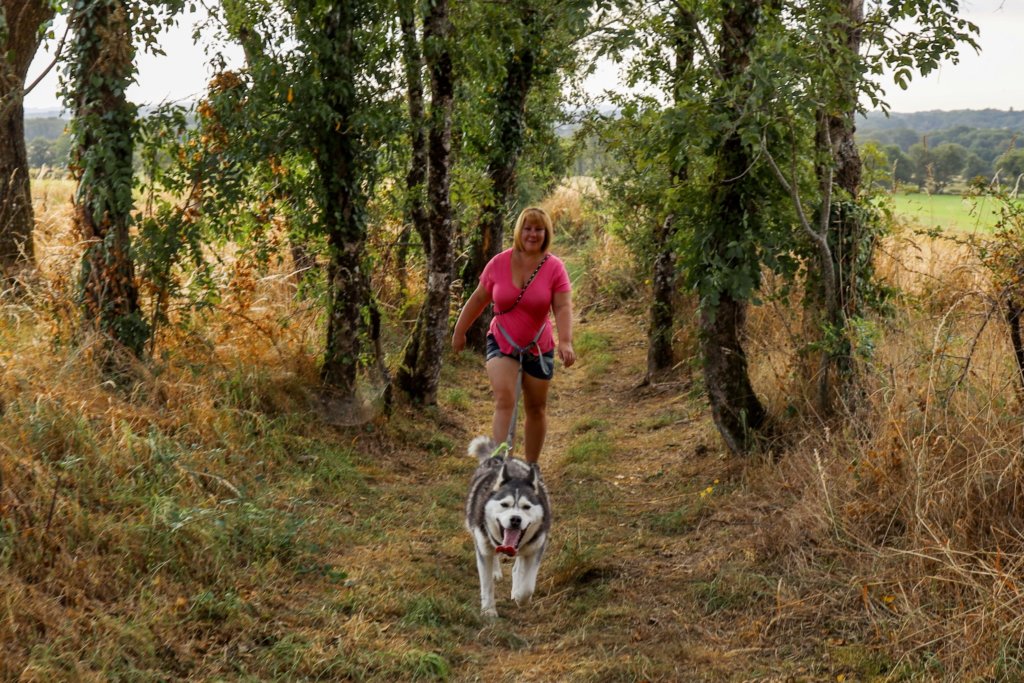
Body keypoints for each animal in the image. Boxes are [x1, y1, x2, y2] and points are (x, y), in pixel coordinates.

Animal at [466, 438, 552, 618]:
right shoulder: (483, 547)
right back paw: (496, 571)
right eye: (504, 504)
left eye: (526, 507)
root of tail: (499, 457)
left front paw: (520, 596)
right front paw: (488, 611)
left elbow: (527, 586)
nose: (515, 519)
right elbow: (487, 584)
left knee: (518, 566)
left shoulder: (536, 548)